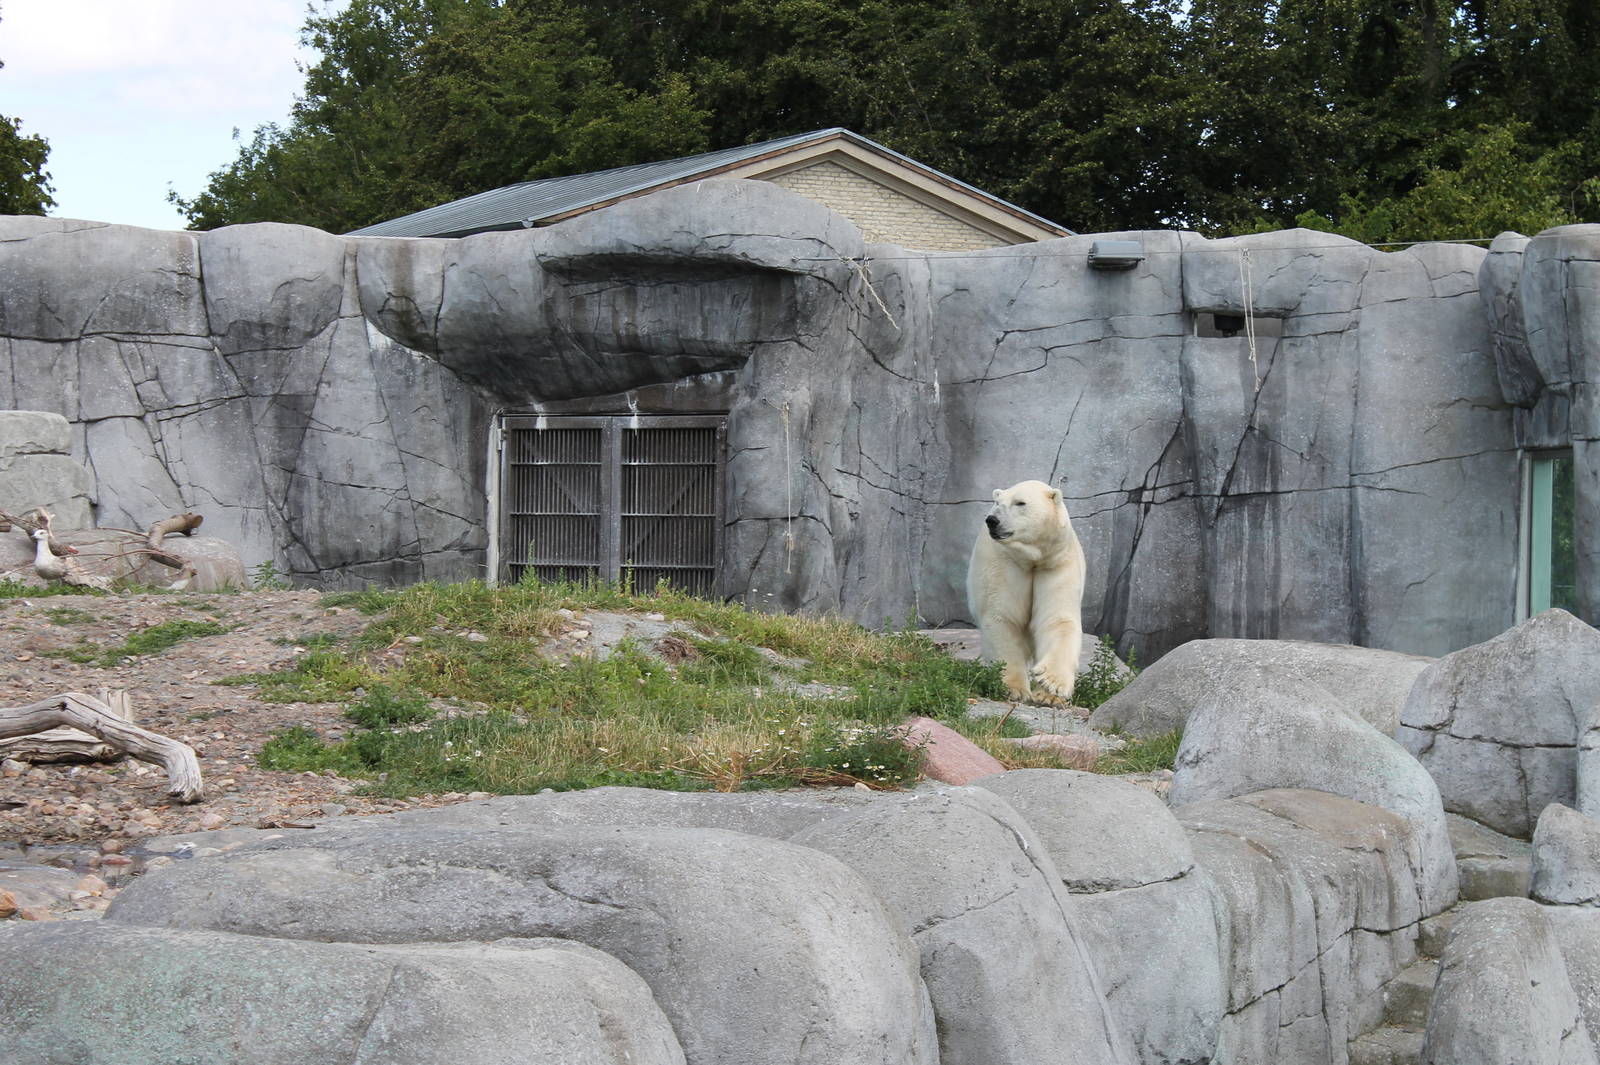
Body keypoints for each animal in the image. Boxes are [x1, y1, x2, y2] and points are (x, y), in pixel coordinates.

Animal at [966, 479, 1086, 704]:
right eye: (997, 503)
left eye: (1020, 502)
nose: (992, 520)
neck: (1032, 558)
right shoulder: (1003, 563)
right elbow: (1004, 617)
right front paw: (1015, 689)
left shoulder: (1057, 563)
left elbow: (1057, 620)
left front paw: (1051, 687)